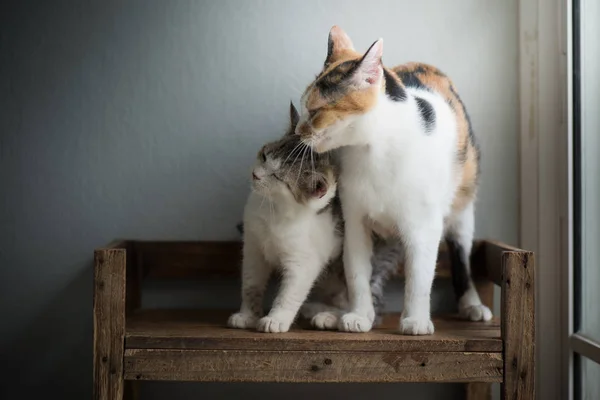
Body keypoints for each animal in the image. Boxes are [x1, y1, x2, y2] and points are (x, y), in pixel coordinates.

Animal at [229, 102, 404, 332]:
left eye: (277, 177)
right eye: (265, 155)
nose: (255, 175)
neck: (274, 211)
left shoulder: (304, 261)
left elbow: (289, 293)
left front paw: (276, 319)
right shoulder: (253, 248)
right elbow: (251, 285)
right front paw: (247, 315)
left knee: (373, 308)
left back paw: (332, 317)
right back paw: (316, 309)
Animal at [296, 26, 492, 336]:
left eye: (314, 111)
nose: (297, 130)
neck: (373, 150)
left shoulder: (424, 226)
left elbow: (419, 277)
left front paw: (416, 320)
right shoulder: (354, 222)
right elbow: (357, 275)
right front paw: (358, 316)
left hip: (463, 207)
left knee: (461, 256)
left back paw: (471, 304)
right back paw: (331, 315)